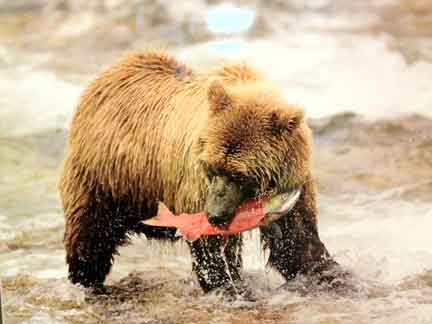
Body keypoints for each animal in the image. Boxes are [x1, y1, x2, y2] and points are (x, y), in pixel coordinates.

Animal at [59, 49, 340, 294]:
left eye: (240, 175)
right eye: (213, 167)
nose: (214, 215)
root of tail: (106, 75)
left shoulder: (293, 185)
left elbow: (297, 243)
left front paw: (330, 273)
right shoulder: (194, 184)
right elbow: (210, 251)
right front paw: (228, 287)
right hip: (105, 178)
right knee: (90, 237)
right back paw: (85, 279)